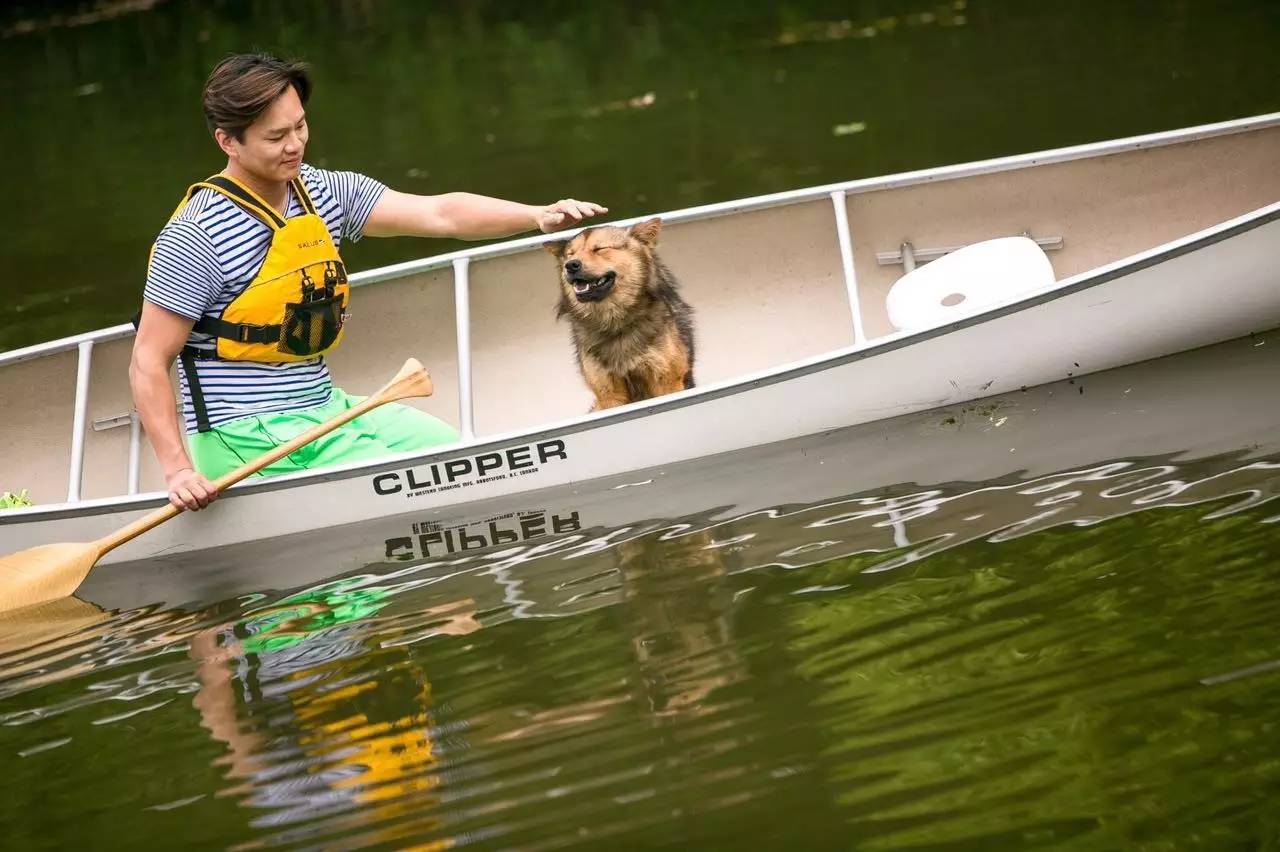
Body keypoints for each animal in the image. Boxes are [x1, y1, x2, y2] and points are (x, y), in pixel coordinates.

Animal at [545, 216, 696, 409]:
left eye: (599, 249)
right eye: (570, 254)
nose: (570, 265)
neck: (614, 322)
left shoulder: (668, 382)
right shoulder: (608, 393)